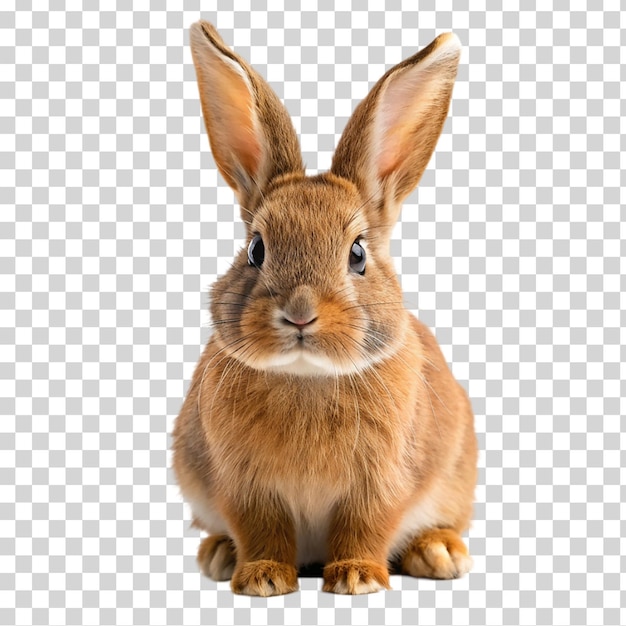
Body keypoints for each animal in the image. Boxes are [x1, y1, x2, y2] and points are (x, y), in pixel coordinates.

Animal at [173, 20, 476, 596]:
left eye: (357, 254)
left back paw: (439, 553)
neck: (307, 376)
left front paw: (357, 578)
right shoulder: (245, 486)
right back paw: (218, 554)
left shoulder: (380, 484)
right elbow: (261, 530)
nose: (299, 313)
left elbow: (366, 526)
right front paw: (264, 579)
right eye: (256, 249)